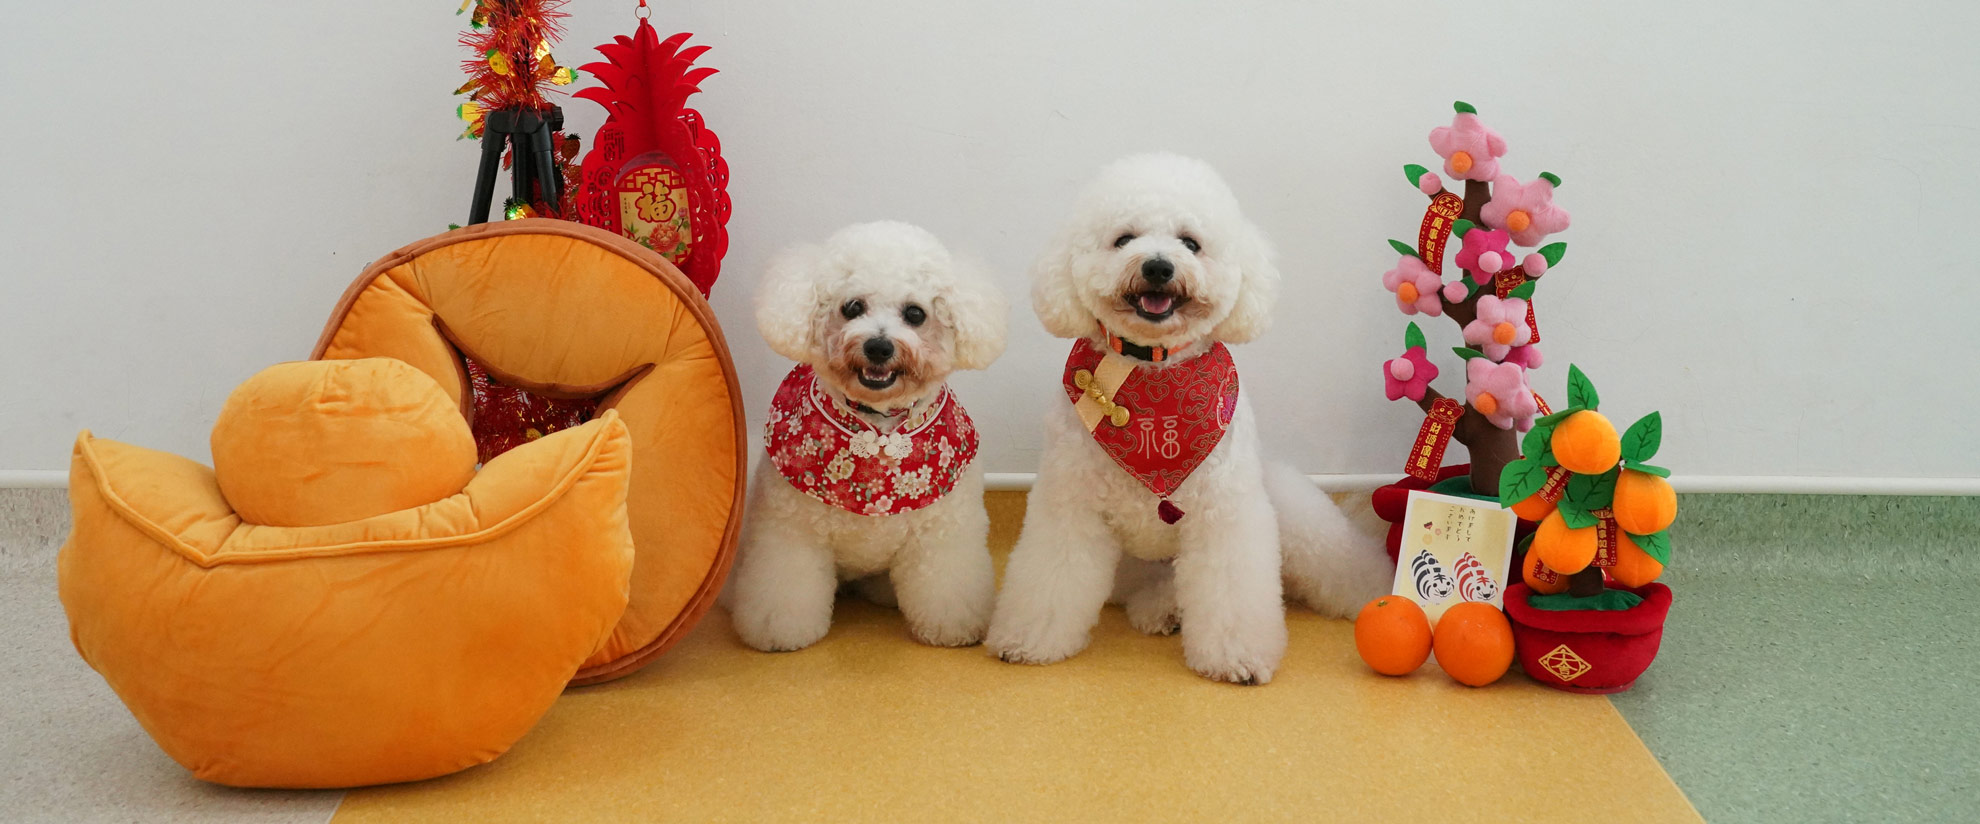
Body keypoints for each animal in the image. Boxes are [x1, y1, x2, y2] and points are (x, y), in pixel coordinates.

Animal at [724, 221, 1005, 653]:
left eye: (915, 313)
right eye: (853, 307)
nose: (878, 346)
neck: (879, 432)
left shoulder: (943, 533)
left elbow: (948, 585)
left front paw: (953, 629)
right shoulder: (790, 531)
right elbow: (783, 588)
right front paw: (780, 633)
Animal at [986, 152, 1393, 681]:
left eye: (1190, 243)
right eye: (1124, 239)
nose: (1158, 266)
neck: (1153, 375)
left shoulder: (1225, 515)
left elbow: (1231, 593)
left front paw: (1236, 656)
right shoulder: (1070, 506)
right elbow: (1049, 579)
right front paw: (1028, 640)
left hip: (1292, 514)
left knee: (1341, 561)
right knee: (1154, 590)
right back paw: (1163, 611)